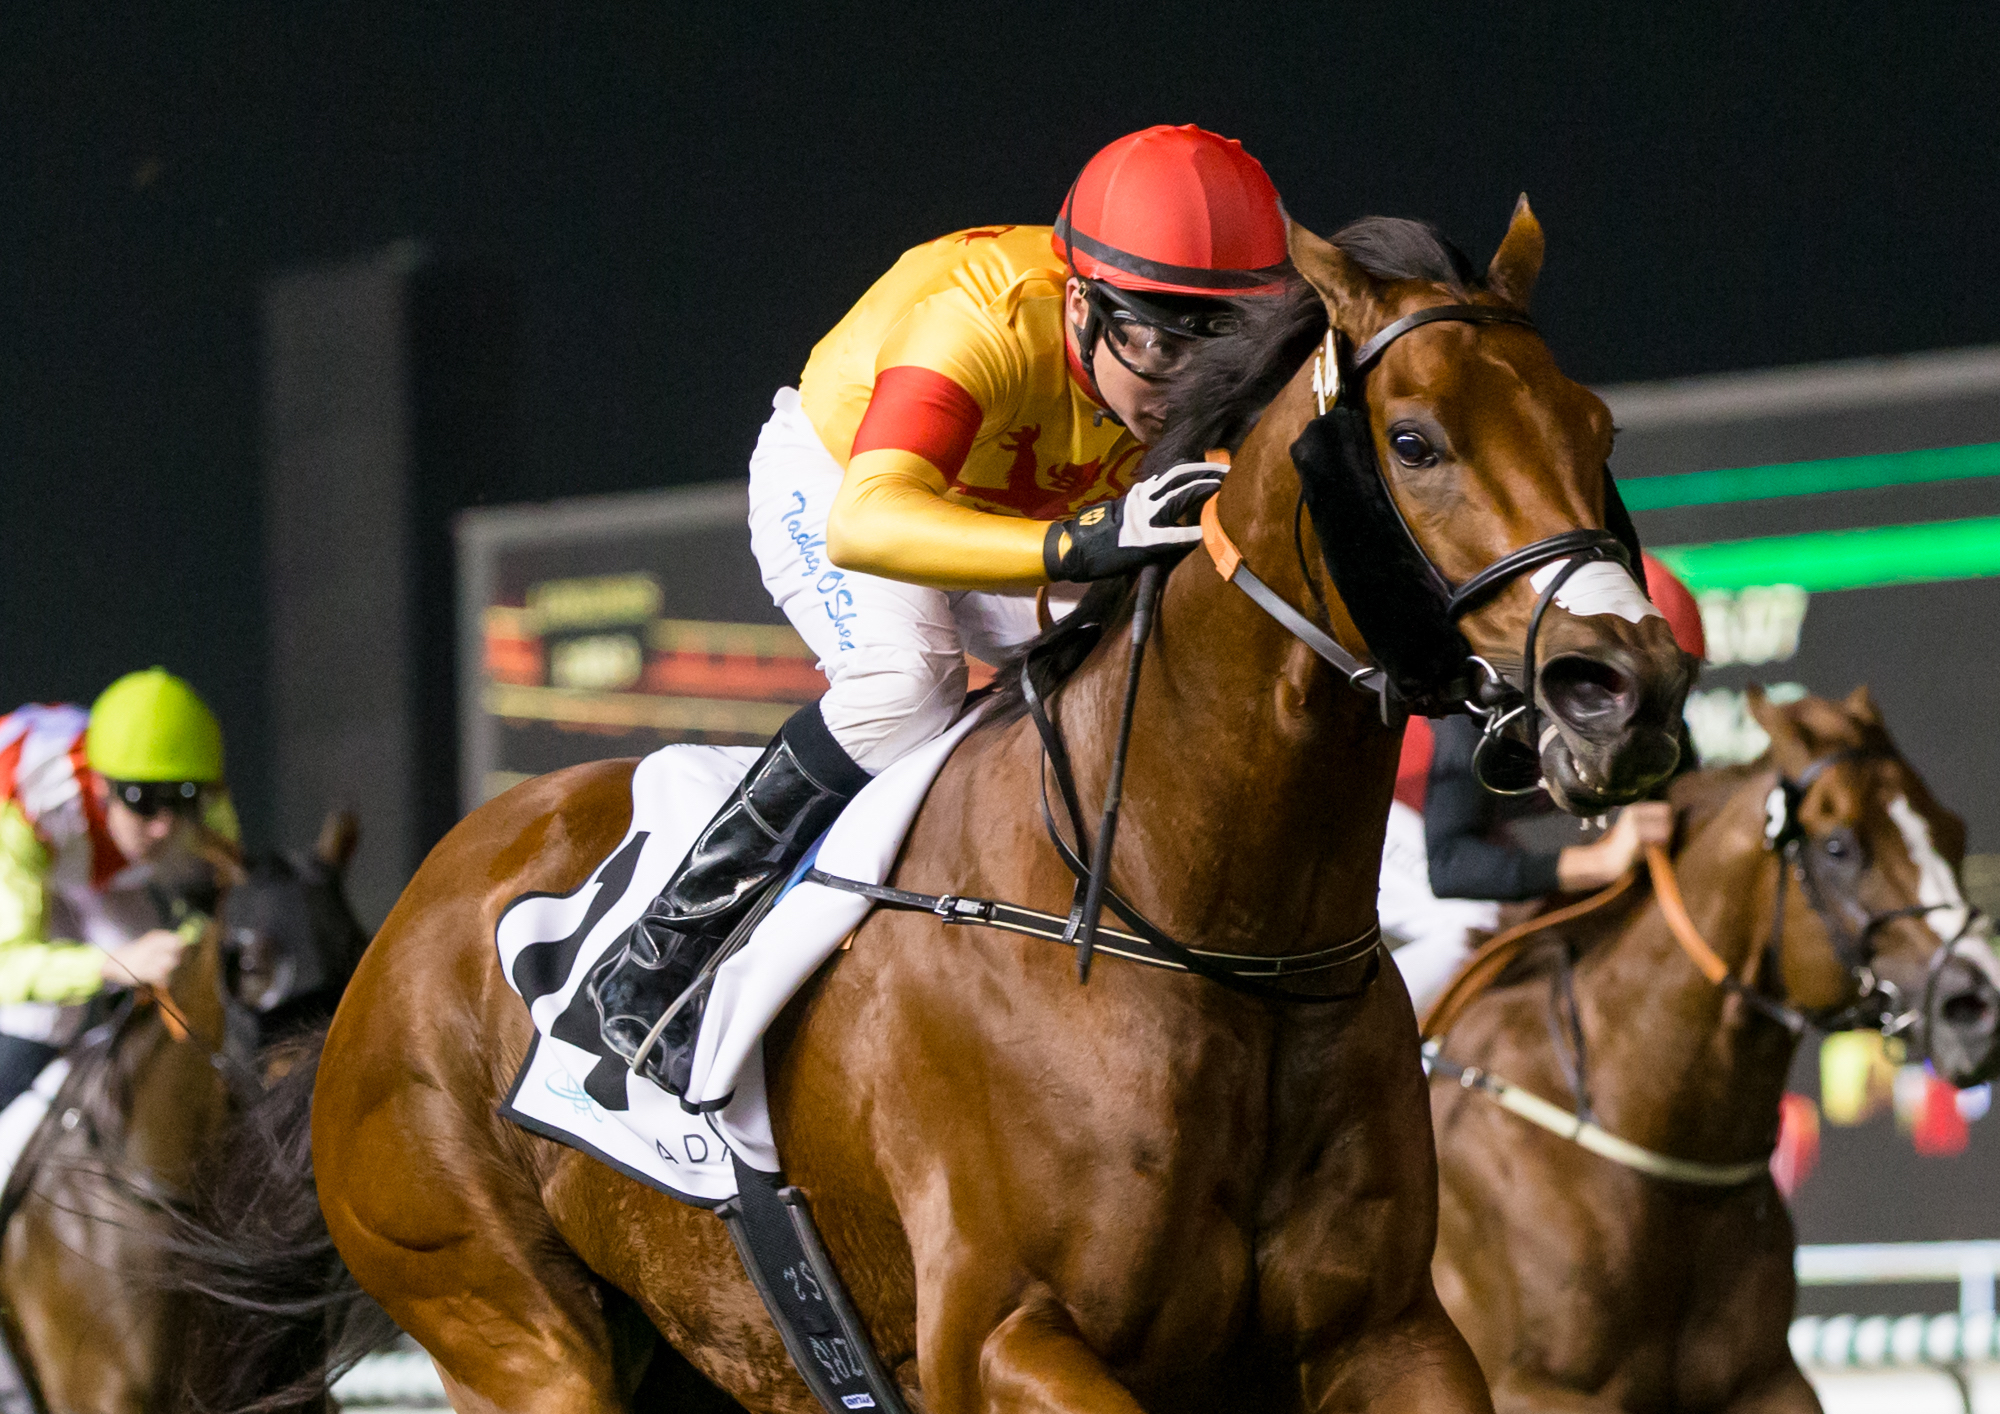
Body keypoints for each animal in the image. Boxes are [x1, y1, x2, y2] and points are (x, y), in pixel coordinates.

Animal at [191, 202, 1704, 1414]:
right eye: (1414, 439)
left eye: (1597, 430)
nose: (1621, 686)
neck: (1204, 921)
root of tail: (408, 918)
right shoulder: (999, 1334)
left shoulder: (1387, 1331)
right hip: (507, 1320)